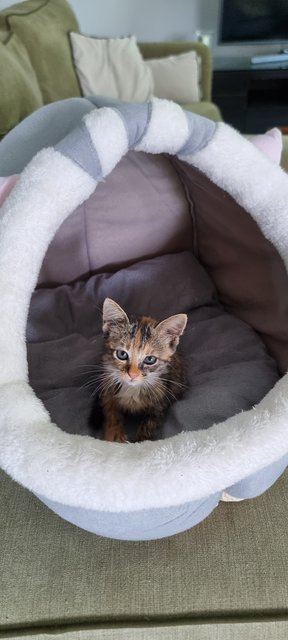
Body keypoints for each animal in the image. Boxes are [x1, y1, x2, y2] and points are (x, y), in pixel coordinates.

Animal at [91, 298, 188, 442]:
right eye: (122, 354)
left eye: (150, 359)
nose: (133, 374)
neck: (133, 389)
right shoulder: (107, 385)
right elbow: (110, 409)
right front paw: (115, 433)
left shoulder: (162, 399)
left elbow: (151, 422)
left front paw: (142, 440)